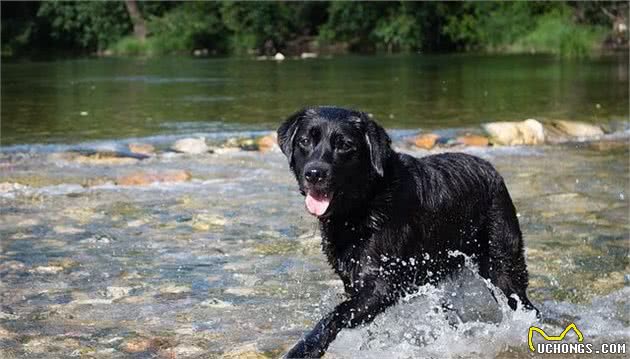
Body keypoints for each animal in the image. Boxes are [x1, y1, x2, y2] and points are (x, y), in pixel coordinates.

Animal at [278, 106, 540, 358]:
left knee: (525, 304)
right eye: (304, 141)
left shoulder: (382, 283)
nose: (314, 173)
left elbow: (337, 313)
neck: (364, 203)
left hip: (502, 265)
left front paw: (305, 348)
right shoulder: (353, 279)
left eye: (344, 145)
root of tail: (492, 170)